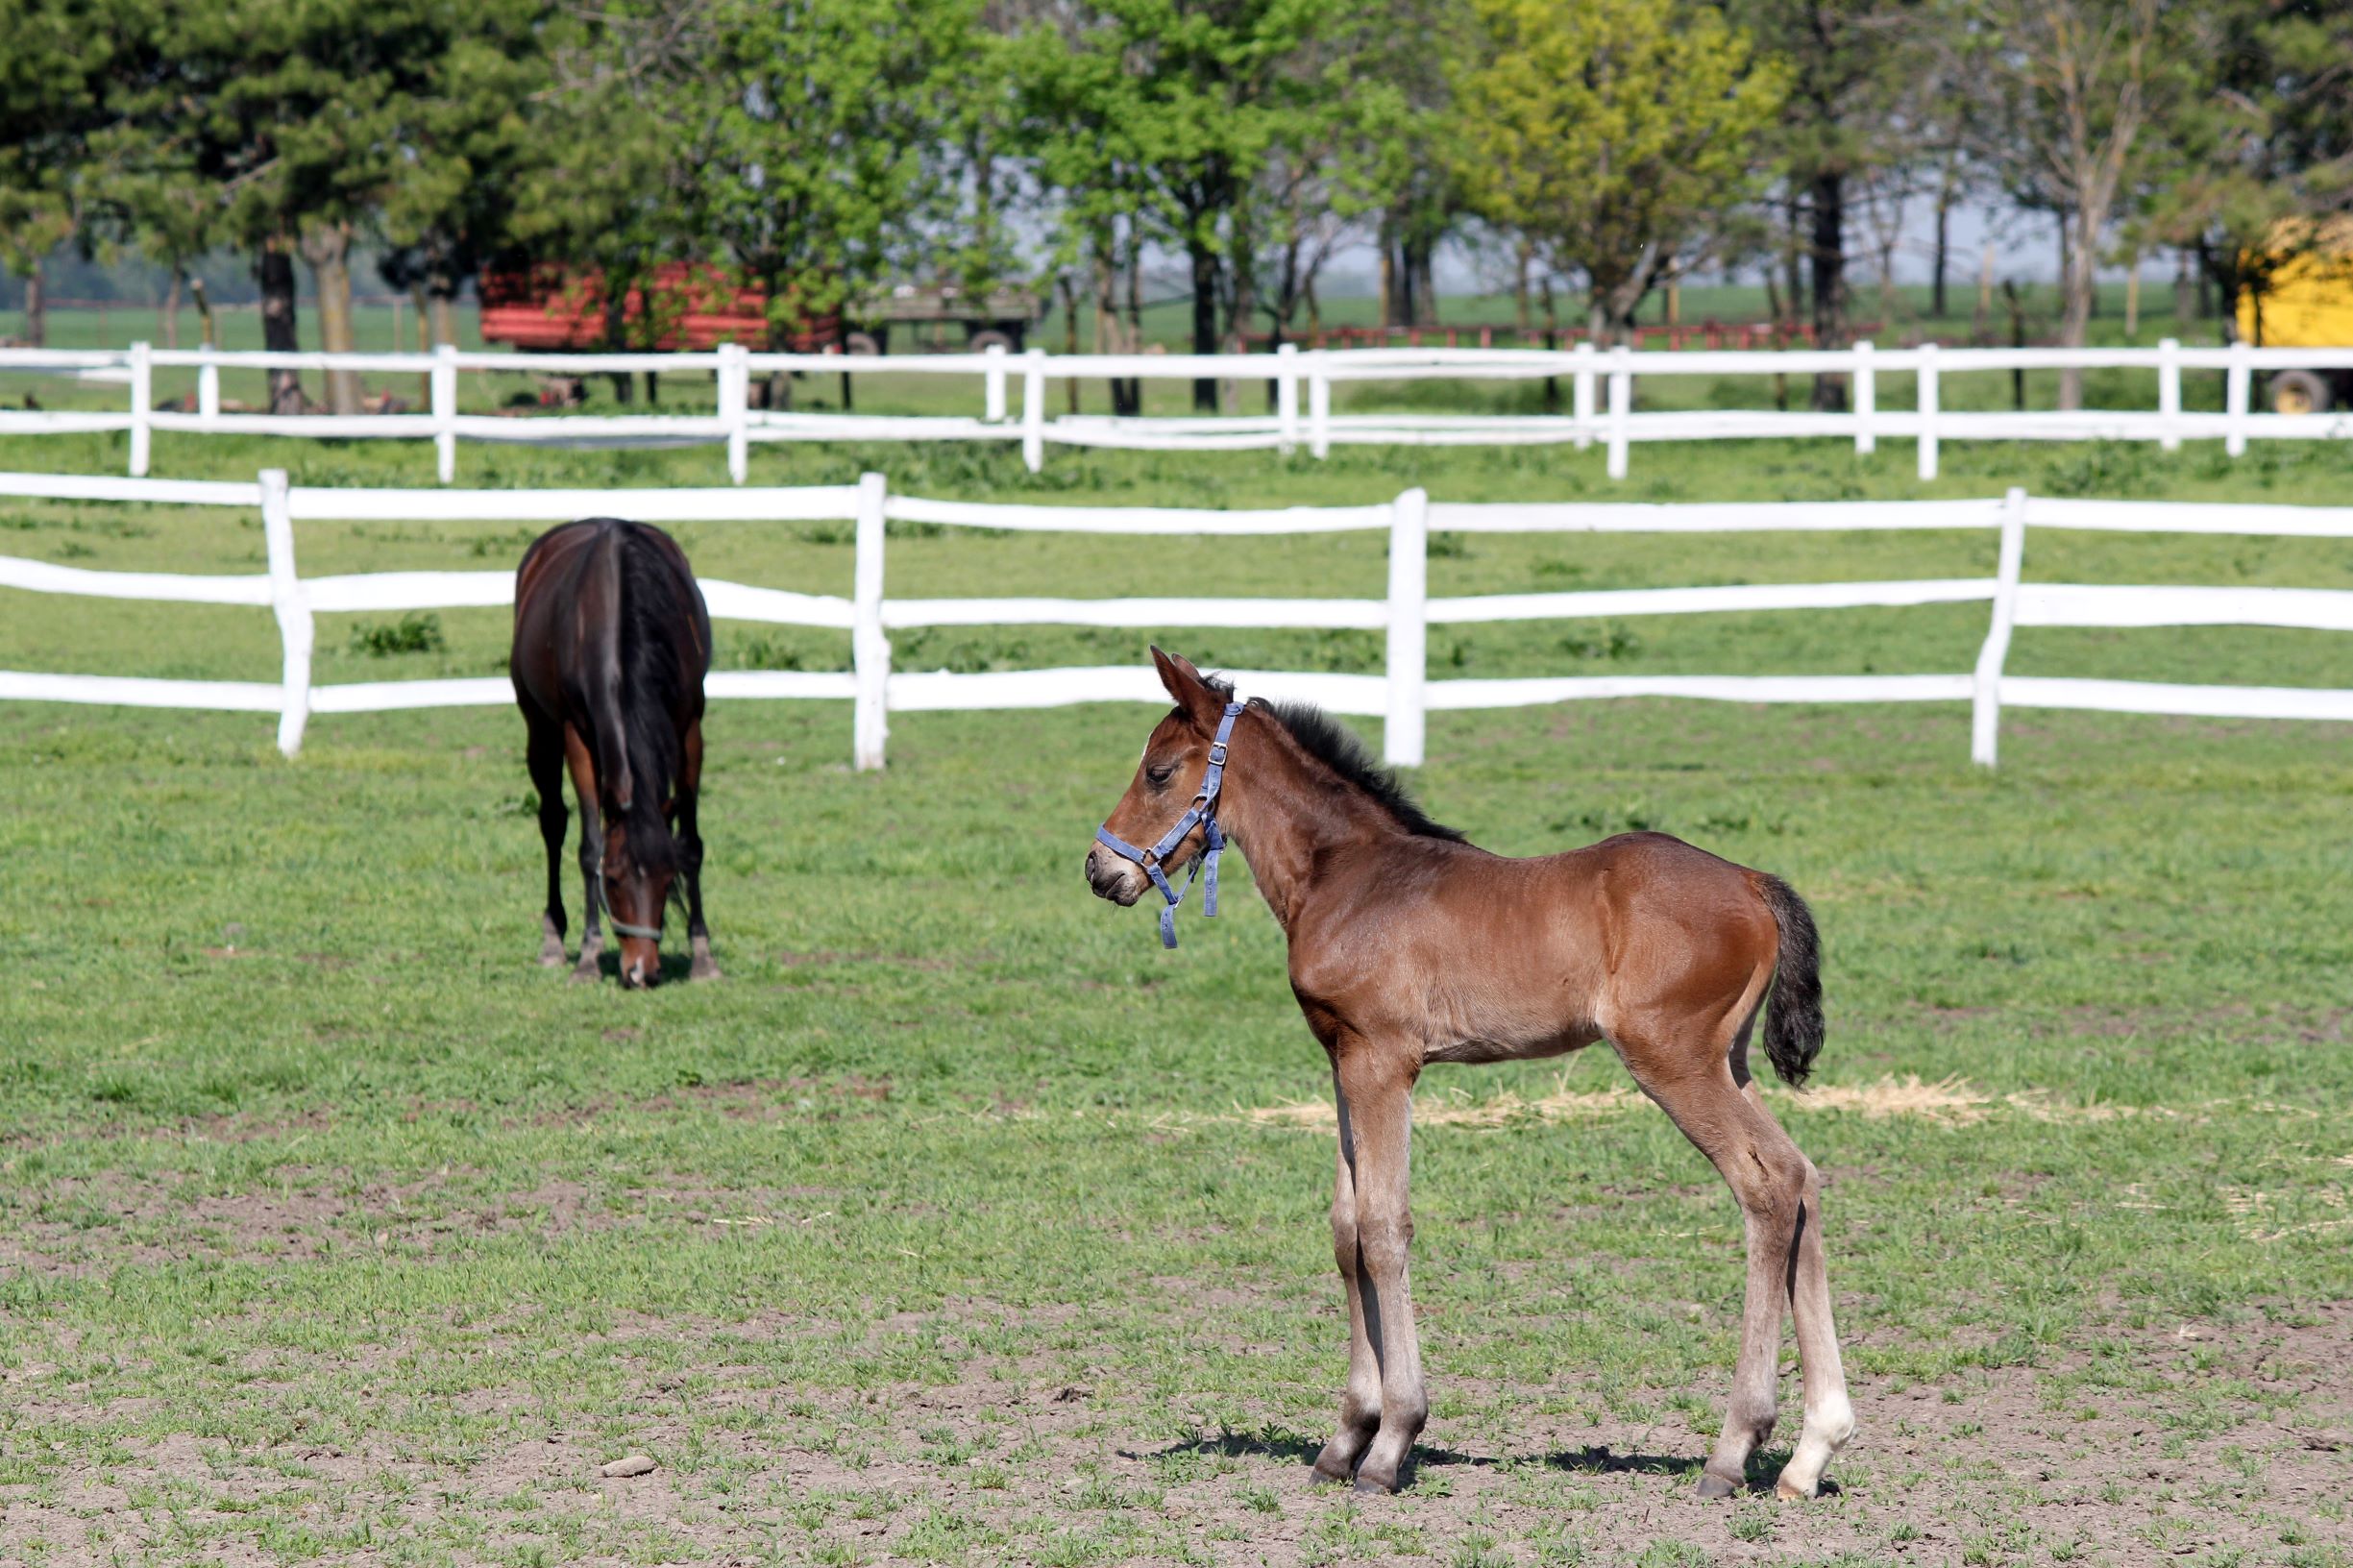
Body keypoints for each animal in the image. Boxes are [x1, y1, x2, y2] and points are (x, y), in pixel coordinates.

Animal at [503, 518, 705, 984]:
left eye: (667, 878)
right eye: (612, 880)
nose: (641, 971)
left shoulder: (690, 726)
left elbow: (690, 841)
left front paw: (703, 954)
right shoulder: (576, 735)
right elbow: (589, 846)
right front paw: (589, 956)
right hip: (540, 728)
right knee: (553, 822)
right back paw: (554, 939)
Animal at [1087, 649, 1853, 1507]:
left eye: (1158, 771)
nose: (1099, 869)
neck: (1347, 877)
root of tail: (1752, 881)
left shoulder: (1384, 1062)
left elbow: (1384, 1228)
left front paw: (1390, 1444)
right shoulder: (1343, 1059)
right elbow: (1346, 1230)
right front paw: (1344, 1438)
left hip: (1672, 1060)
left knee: (1766, 1186)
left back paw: (1733, 1448)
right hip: (1729, 1062)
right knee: (1801, 1178)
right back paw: (1809, 1452)